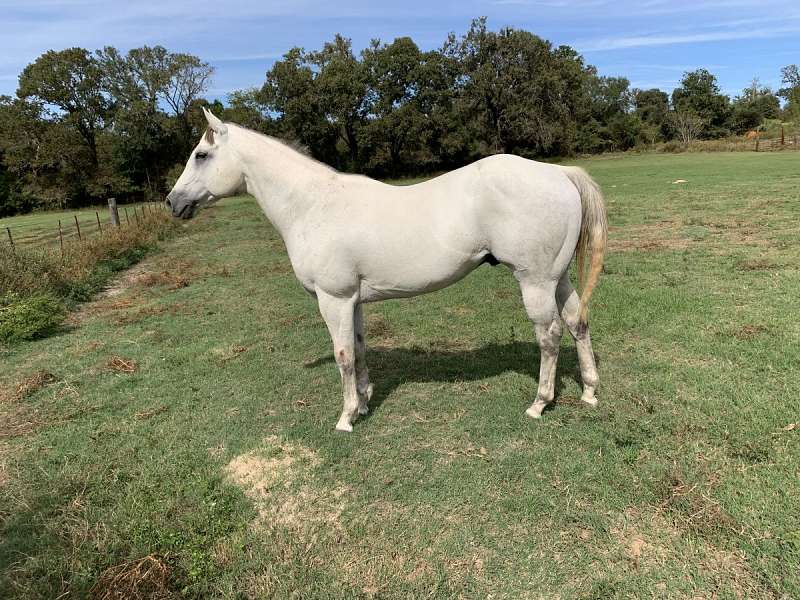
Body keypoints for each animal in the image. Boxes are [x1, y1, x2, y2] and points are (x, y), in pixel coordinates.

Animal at [167, 110, 608, 432]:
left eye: (201, 155)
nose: (172, 202)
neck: (312, 204)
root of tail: (558, 172)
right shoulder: (353, 301)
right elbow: (360, 348)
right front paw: (363, 403)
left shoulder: (334, 299)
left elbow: (343, 354)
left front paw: (346, 418)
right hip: (557, 278)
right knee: (577, 321)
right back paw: (589, 392)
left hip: (535, 281)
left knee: (549, 335)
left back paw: (539, 403)